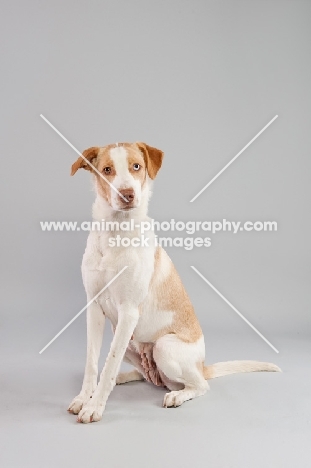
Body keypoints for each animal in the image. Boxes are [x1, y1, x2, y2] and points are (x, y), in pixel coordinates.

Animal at [67, 141, 282, 422]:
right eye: (106, 170)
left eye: (136, 166)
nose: (127, 194)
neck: (116, 232)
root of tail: (202, 365)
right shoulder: (94, 308)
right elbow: (93, 363)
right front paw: (85, 398)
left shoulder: (128, 312)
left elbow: (110, 362)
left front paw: (94, 407)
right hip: (126, 340)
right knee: (147, 377)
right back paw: (128, 378)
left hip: (163, 346)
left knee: (199, 385)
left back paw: (177, 395)